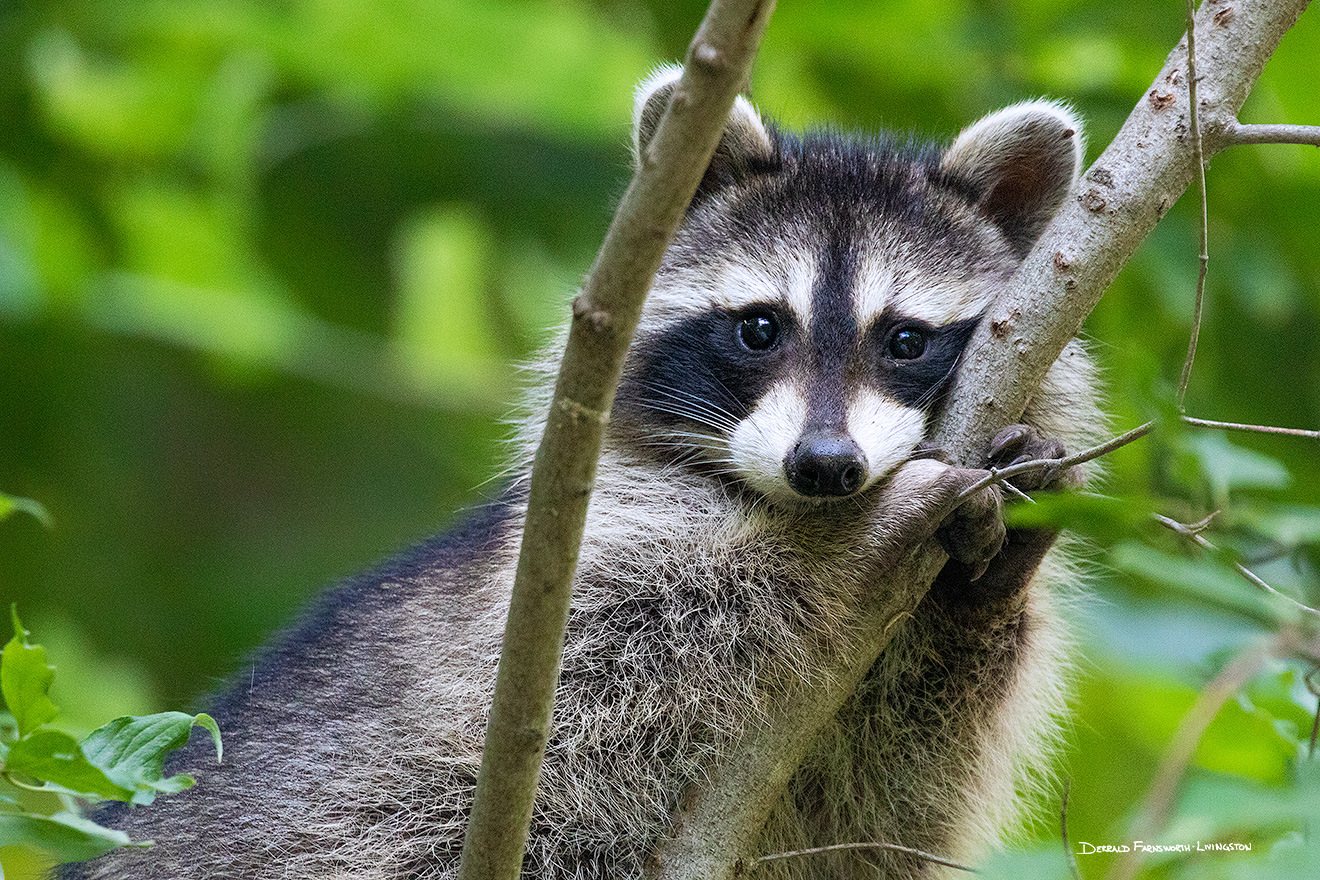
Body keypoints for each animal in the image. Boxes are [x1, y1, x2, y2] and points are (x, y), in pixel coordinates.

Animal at [66, 63, 1108, 880]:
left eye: (904, 340)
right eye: (759, 326)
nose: (825, 470)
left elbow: (875, 806)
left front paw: (989, 579)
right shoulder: (555, 580)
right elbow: (618, 645)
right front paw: (849, 544)